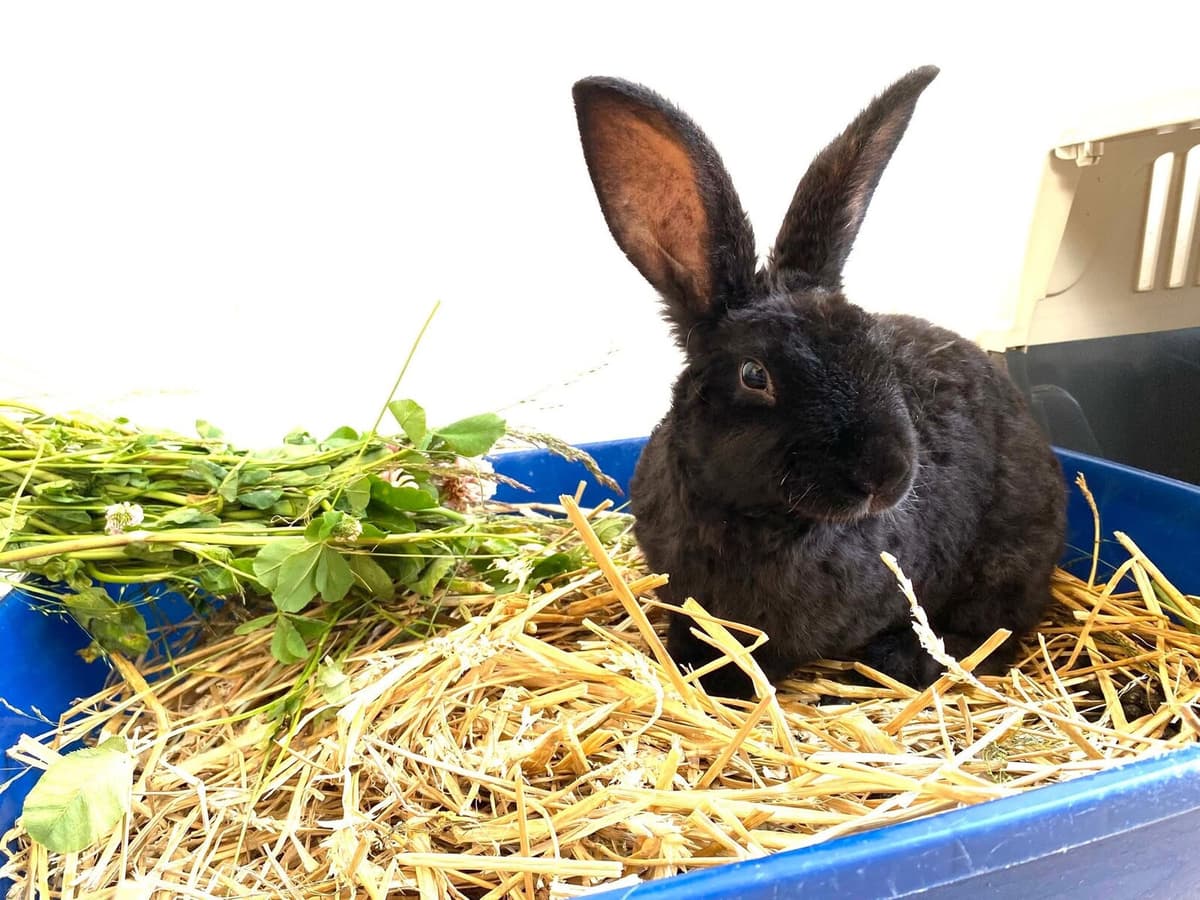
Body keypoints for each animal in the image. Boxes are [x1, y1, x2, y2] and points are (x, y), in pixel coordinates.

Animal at [571, 66, 1066, 699]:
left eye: (876, 348)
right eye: (754, 374)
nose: (886, 475)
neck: (749, 518)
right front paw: (691, 670)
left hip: (1008, 561)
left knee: (995, 629)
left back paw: (905, 660)